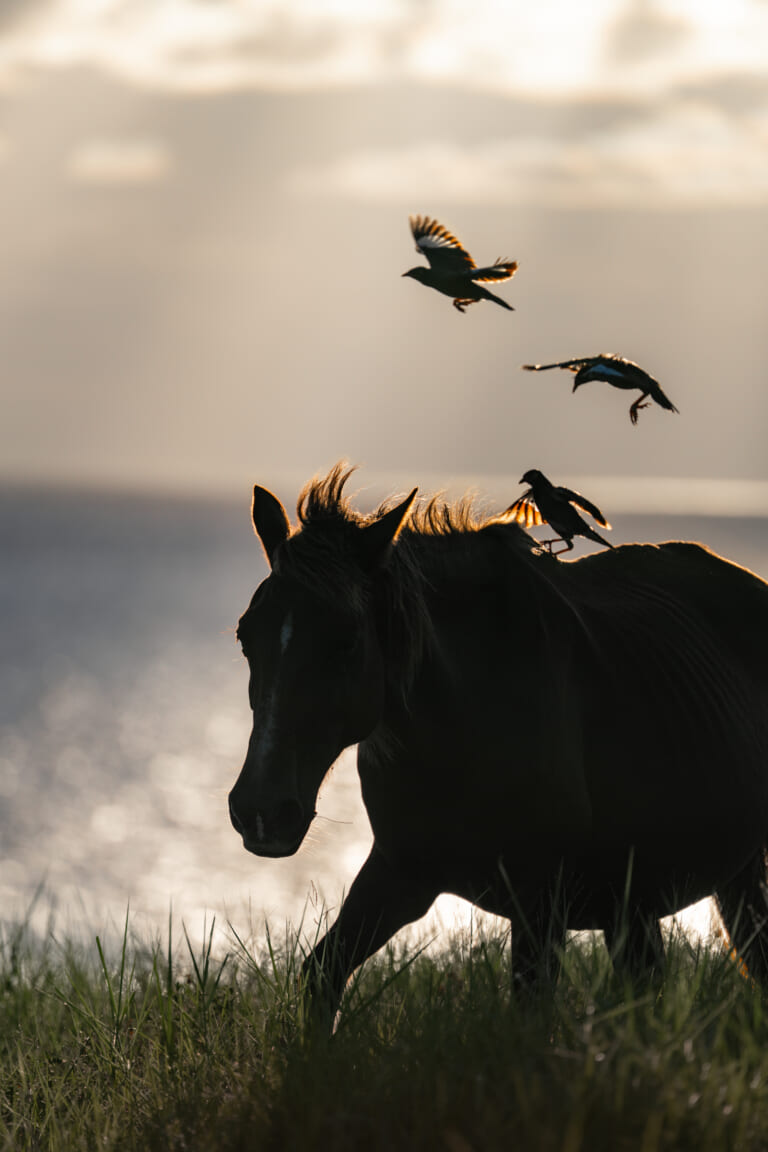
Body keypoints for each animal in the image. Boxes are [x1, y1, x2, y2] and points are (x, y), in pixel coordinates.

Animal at [229, 464, 768, 1017]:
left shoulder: (540, 906)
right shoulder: (402, 873)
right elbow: (322, 973)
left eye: (347, 641)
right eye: (246, 637)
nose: (262, 813)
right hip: (643, 903)